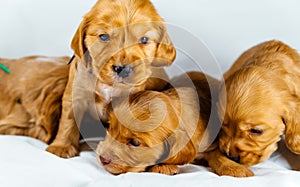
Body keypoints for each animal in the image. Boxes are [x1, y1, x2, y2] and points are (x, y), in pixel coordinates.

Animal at [46, 0, 177, 158]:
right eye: (104, 36)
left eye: (144, 40)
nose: (123, 69)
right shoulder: (75, 93)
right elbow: (69, 120)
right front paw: (61, 146)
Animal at [97, 71, 254, 177]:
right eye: (109, 128)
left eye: (135, 143)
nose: (102, 158)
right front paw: (163, 167)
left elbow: (218, 155)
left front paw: (236, 169)